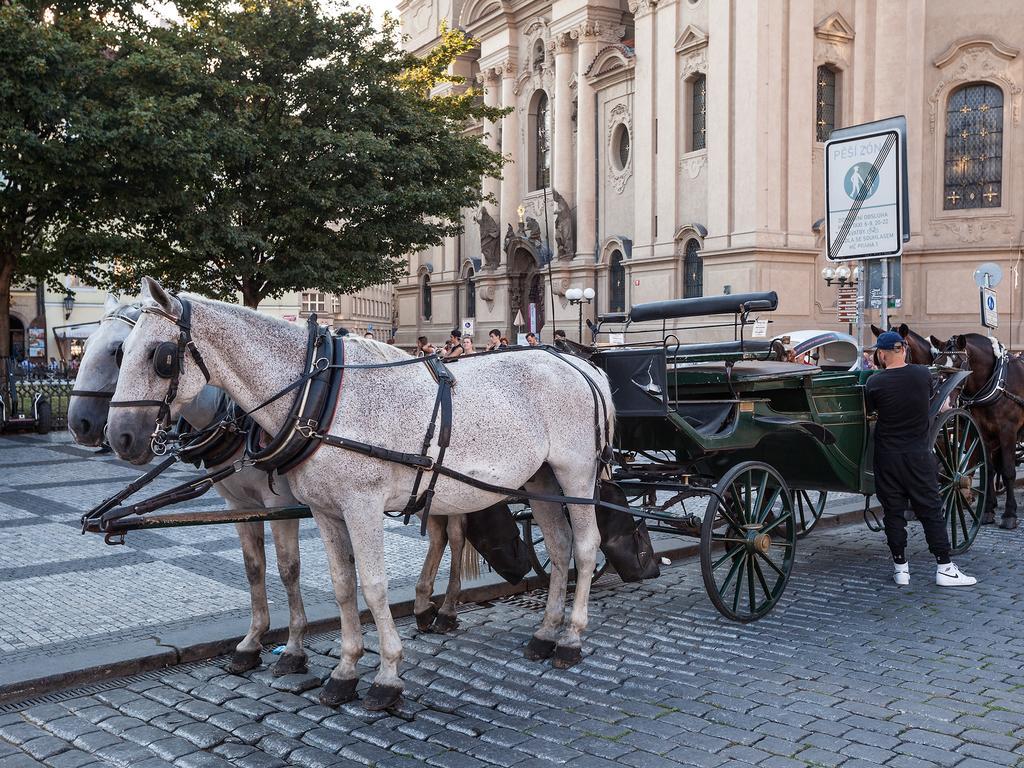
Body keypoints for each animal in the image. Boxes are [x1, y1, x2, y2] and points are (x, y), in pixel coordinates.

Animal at [108, 280, 610, 712]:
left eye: (160, 356)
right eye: (121, 353)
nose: (119, 438)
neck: (318, 396)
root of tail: (580, 364)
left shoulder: (362, 506)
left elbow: (373, 585)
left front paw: (386, 676)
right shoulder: (325, 510)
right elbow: (343, 586)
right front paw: (346, 671)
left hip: (577, 476)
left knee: (586, 549)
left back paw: (570, 639)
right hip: (541, 481)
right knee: (559, 547)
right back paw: (545, 633)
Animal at [933, 333, 1019, 532]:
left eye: (959, 364)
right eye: (937, 363)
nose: (944, 406)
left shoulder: (1008, 432)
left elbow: (1009, 471)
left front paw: (1010, 514)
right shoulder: (984, 433)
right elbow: (988, 468)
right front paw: (987, 511)